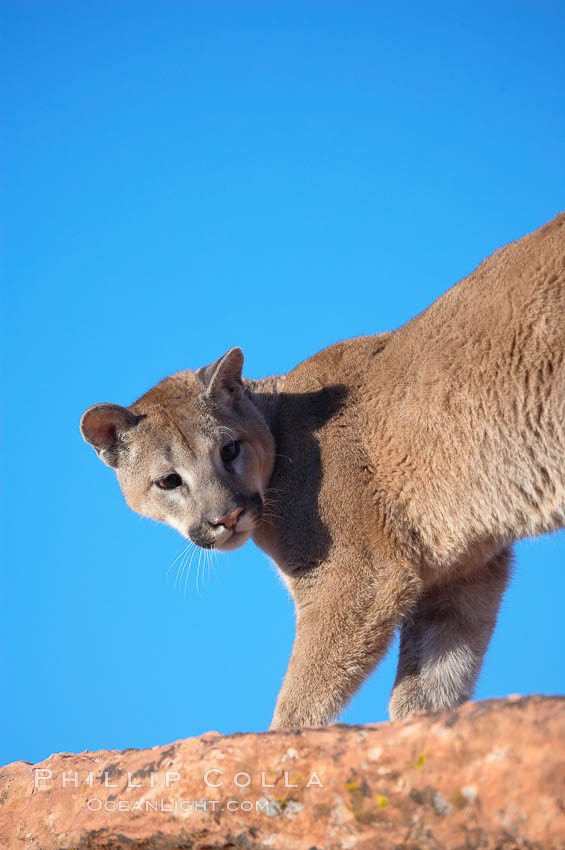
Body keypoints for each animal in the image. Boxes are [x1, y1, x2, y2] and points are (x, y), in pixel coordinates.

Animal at [81, 210, 560, 724]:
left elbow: (301, 698)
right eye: (168, 481)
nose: (227, 516)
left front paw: (277, 740)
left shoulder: (353, 578)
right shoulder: (466, 572)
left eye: (228, 450)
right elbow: (432, 680)